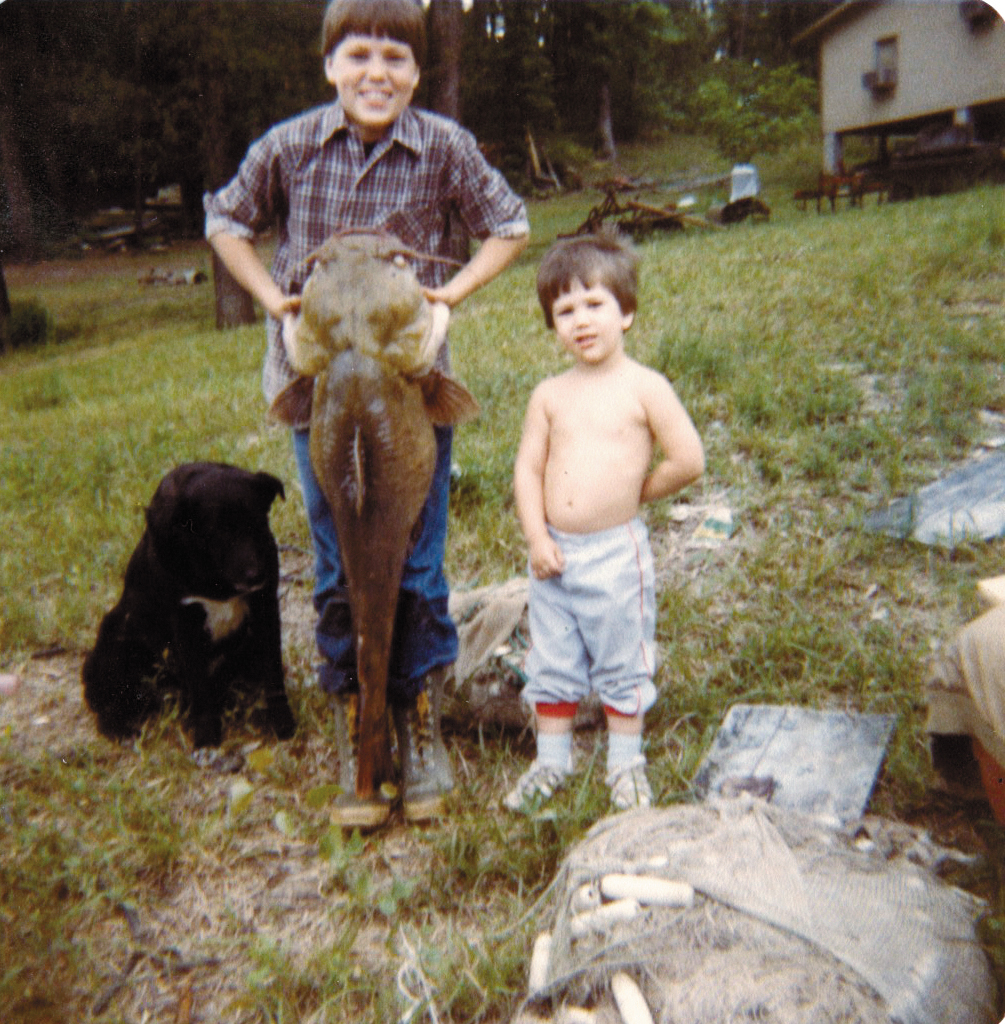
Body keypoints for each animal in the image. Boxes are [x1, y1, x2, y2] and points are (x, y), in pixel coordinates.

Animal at [82, 462, 297, 745]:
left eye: (259, 523)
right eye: (218, 533)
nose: (255, 576)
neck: (216, 580)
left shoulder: (265, 609)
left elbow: (272, 674)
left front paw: (282, 722)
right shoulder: (185, 623)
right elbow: (199, 685)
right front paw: (207, 736)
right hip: (118, 640)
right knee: (109, 707)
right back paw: (124, 730)